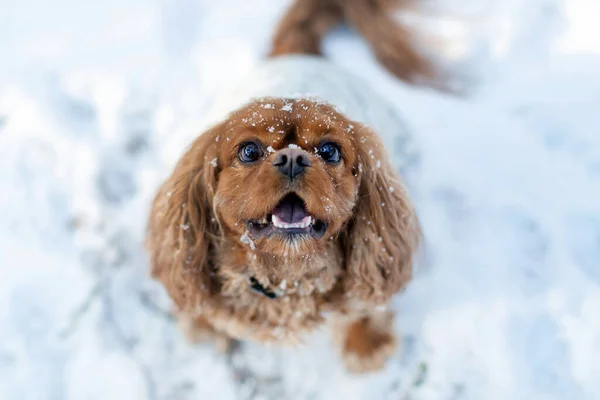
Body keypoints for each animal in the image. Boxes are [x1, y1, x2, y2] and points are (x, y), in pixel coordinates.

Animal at [145, 0, 436, 372]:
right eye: (249, 150)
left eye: (330, 150)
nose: (293, 158)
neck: (284, 278)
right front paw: (204, 326)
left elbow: (364, 309)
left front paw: (365, 345)